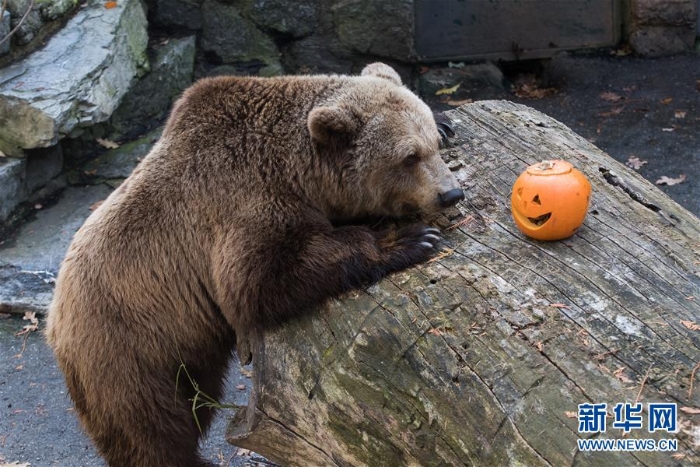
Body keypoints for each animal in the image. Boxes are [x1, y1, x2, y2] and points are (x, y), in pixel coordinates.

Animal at [42, 63, 460, 467]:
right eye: (408, 157)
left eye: (432, 145)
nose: (451, 193)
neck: (299, 171)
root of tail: (54, 321)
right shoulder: (240, 200)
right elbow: (258, 280)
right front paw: (408, 239)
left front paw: (446, 120)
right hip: (127, 346)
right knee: (151, 427)